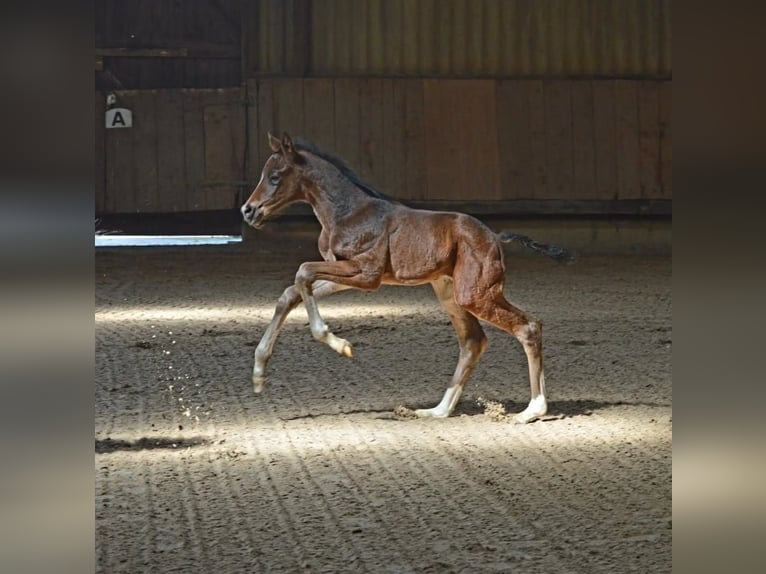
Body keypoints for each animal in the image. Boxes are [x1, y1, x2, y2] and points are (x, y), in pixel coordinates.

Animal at [242, 133, 576, 426]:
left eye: (276, 176)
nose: (248, 211)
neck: (348, 213)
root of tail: (495, 236)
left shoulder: (367, 273)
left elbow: (302, 272)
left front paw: (340, 345)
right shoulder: (345, 273)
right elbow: (291, 292)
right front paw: (259, 373)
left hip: (475, 294)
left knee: (527, 327)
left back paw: (531, 410)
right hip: (450, 293)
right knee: (473, 341)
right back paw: (436, 411)